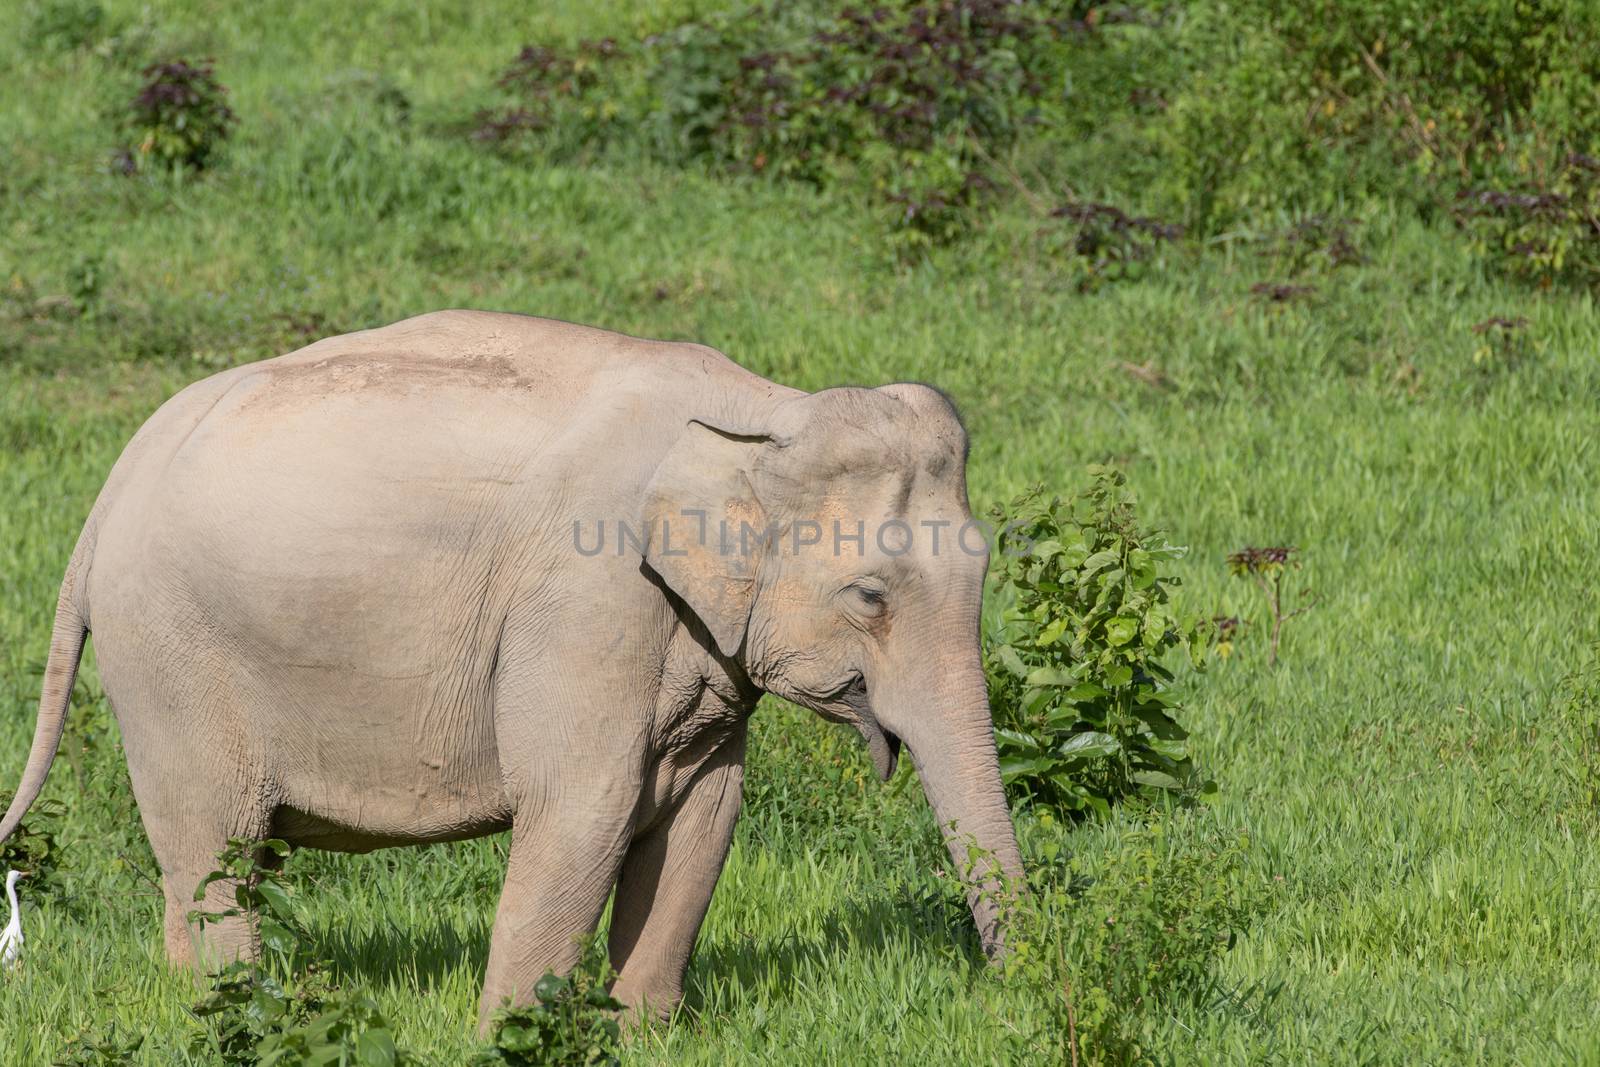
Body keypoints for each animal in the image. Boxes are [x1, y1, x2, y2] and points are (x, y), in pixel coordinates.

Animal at [0, 308, 1024, 1023]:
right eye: (871, 596)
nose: (1007, 992)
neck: (761, 411)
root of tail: (106, 498)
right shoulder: (587, 599)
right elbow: (583, 805)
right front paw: (512, 1035)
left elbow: (702, 815)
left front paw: (640, 1031)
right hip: (170, 654)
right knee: (215, 848)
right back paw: (234, 1011)